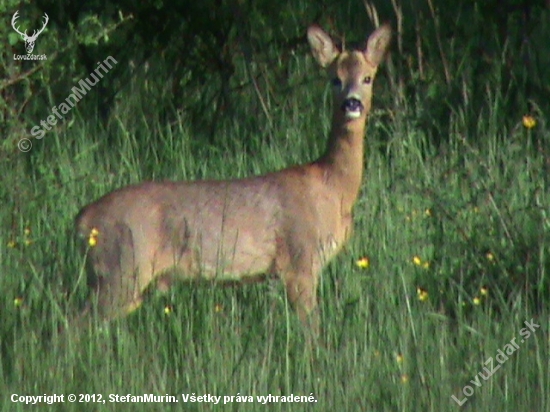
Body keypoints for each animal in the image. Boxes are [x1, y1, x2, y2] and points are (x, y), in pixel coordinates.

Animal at [74, 23, 392, 334]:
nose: (352, 103)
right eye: (335, 79)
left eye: (367, 78)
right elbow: (312, 332)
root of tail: (83, 219)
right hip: (123, 269)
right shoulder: (299, 260)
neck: (333, 187)